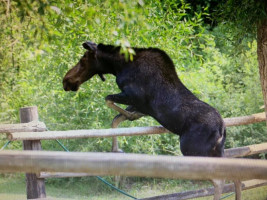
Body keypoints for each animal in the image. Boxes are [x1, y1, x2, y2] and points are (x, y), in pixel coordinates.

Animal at [63, 41, 228, 199]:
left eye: (83, 59)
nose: (66, 81)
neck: (118, 66)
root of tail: (221, 129)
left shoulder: (134, 96)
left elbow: (109, 100)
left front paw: (131, 118)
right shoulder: (139, 105)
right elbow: (115, 120)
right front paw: (116, 149)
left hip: (192, 150)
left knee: (218, 180)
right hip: (216, 152)